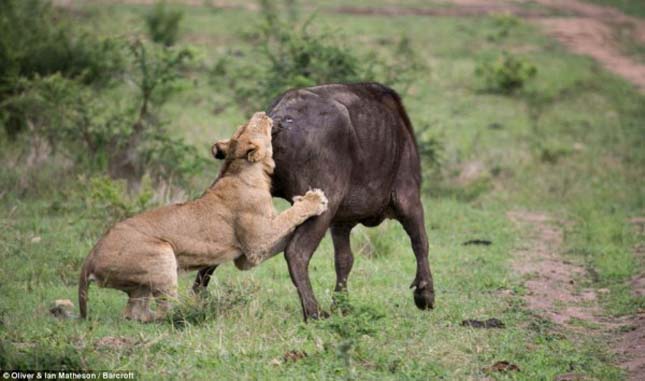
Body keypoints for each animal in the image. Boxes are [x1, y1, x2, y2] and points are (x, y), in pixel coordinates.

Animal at [79, 112, 328, 320]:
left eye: (243, 126)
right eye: (253, 125)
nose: (263, 113)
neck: (241, 169)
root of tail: (90, 256)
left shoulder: (247, 257)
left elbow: (286, 236)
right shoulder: (256, 245)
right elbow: (289, 216)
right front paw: (315, 200)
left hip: (139, 283)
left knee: (134, 313)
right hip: (162, 253)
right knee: (165, 310)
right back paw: (195, 310)